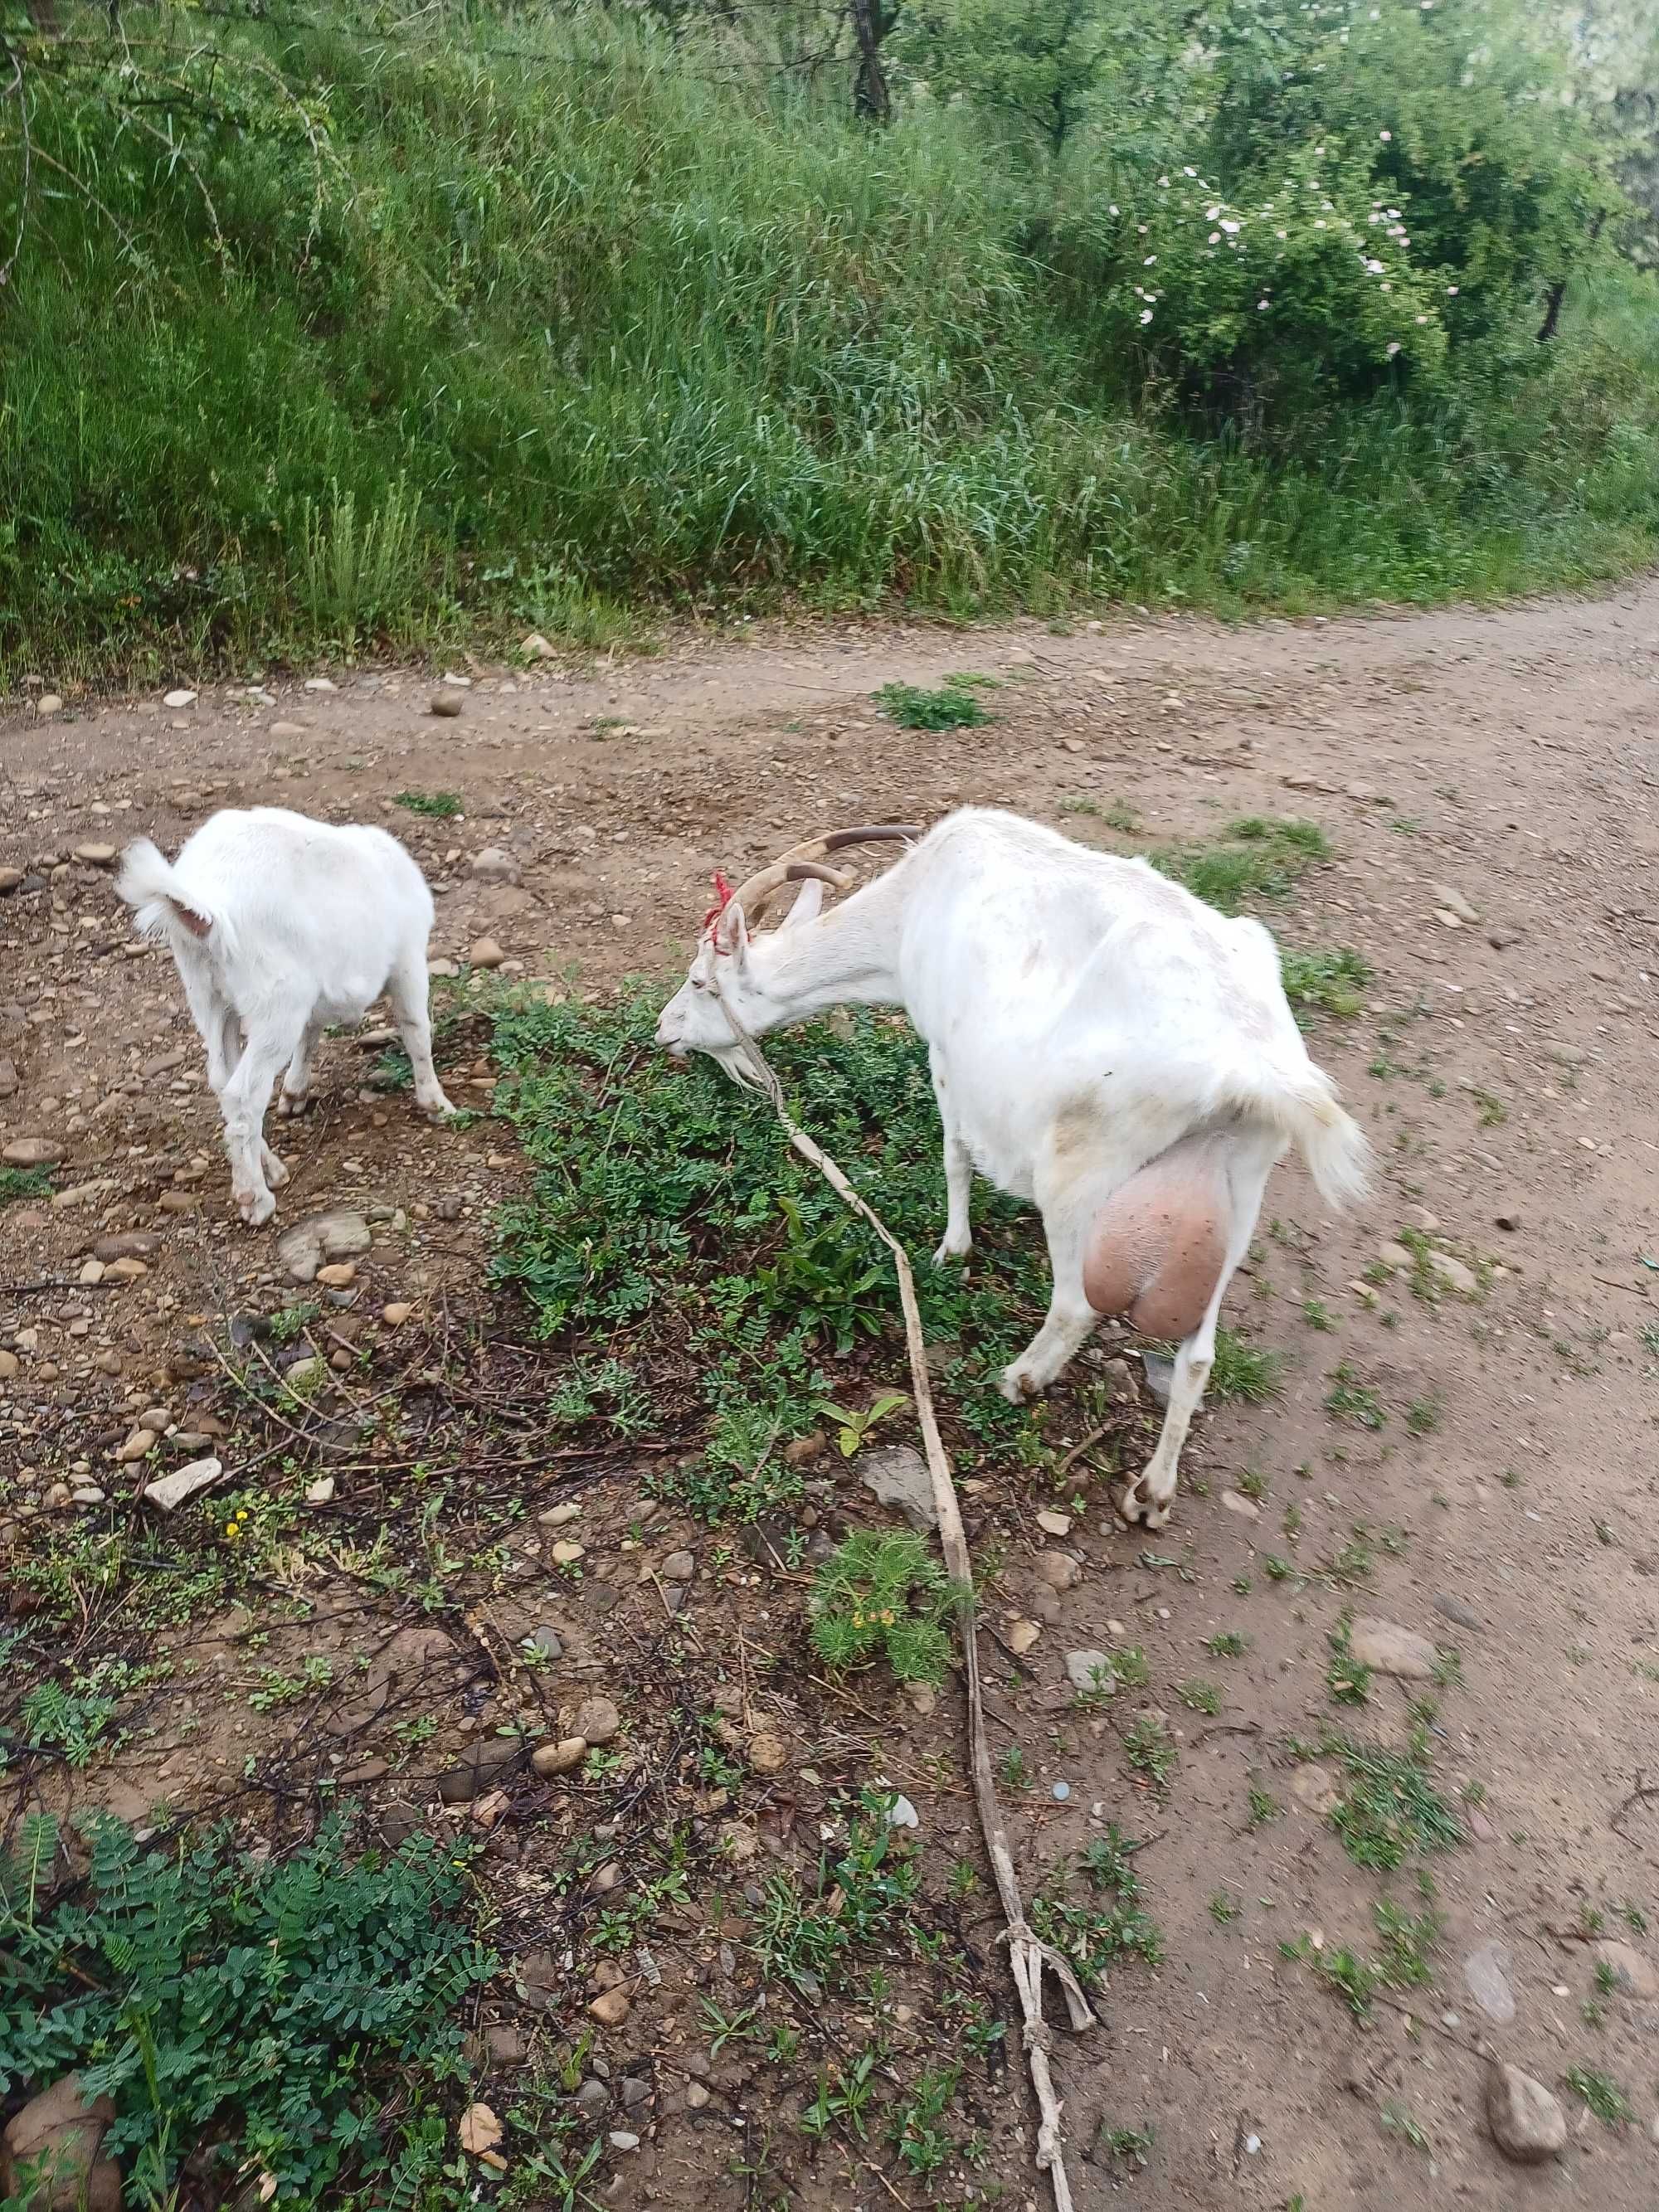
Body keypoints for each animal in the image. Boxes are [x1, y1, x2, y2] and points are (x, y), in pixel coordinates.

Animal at [118, 809, 458, 1229]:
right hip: (275, 1002)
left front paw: (295, 1093)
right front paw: (437, 1104)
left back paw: (271, 1168)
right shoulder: (408, 959)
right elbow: (416, 1029)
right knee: (243, 1092)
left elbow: (310, 1033)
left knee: (222, 1079)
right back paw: (255, 1198)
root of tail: (209, 909)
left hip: (209, 996)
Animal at [664, 805, 1380, 1530]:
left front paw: (952, 1251)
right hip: (1237, 1195)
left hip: (1083, 1168)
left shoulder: (946, 1050)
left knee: (1075, 1303)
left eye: (699, 983)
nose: (664, 1031)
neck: (912, 905)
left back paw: (1021, 1378)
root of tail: (1256, 1071)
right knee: (1199, 1355)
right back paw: (1152, 1492)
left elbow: (955, 1154)